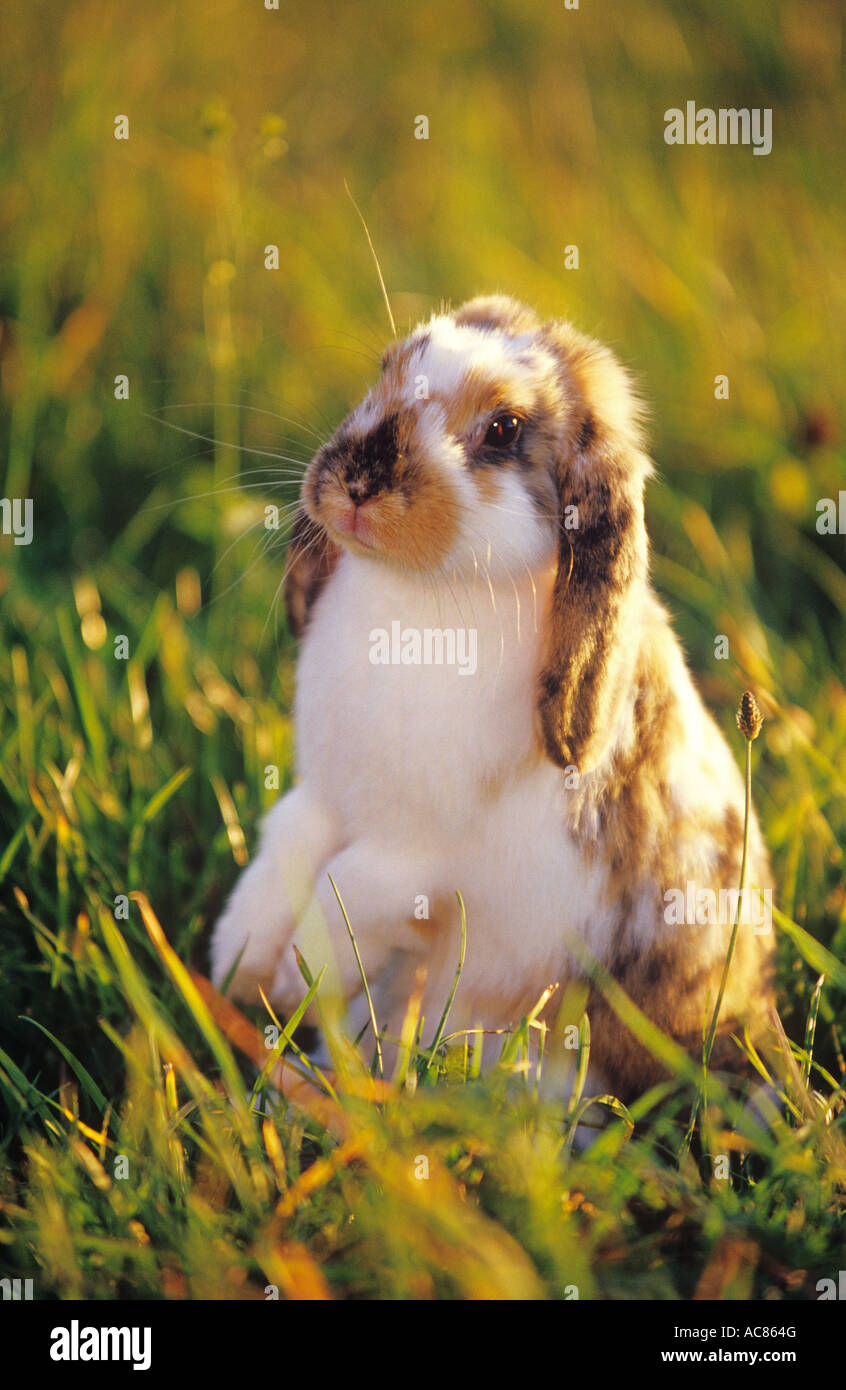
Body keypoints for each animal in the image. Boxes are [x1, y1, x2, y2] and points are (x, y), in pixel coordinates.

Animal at [210, 295, 775, 1103]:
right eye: (386, 370)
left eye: (502, 430)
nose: (354, 486)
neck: (418, 595)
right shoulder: (320, 800)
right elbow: (280, 854)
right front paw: (239, 963)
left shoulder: (407, 857)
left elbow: (342, 897)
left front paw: (294, 979)